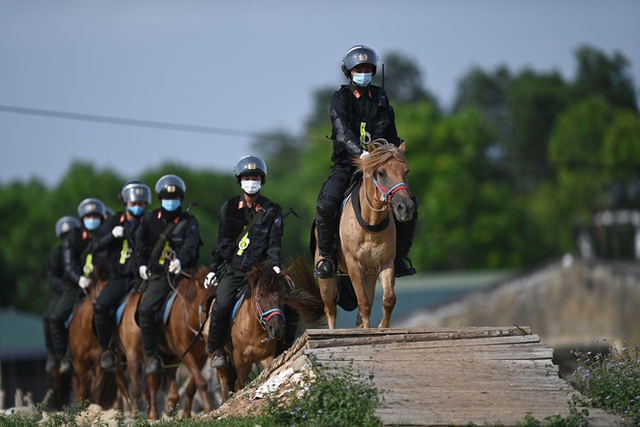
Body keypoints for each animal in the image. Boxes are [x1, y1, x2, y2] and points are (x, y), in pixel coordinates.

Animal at [205, 260, 324, 402]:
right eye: (261, 294)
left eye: (284, 296)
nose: (276, 329)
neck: (254, 331)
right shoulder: (240, 359)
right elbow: (240, 384)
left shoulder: (267, 357)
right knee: (223, 377)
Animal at [312, 139, 412, 330]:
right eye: (381, 172)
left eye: (406, 171)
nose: (405, 207)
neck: (371, 224)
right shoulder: (354, 266)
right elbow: (363, 304)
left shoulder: (386, 263)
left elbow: (389, 299)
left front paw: (382, 327)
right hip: (326, 282)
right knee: (330, 310)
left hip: (370, 276)